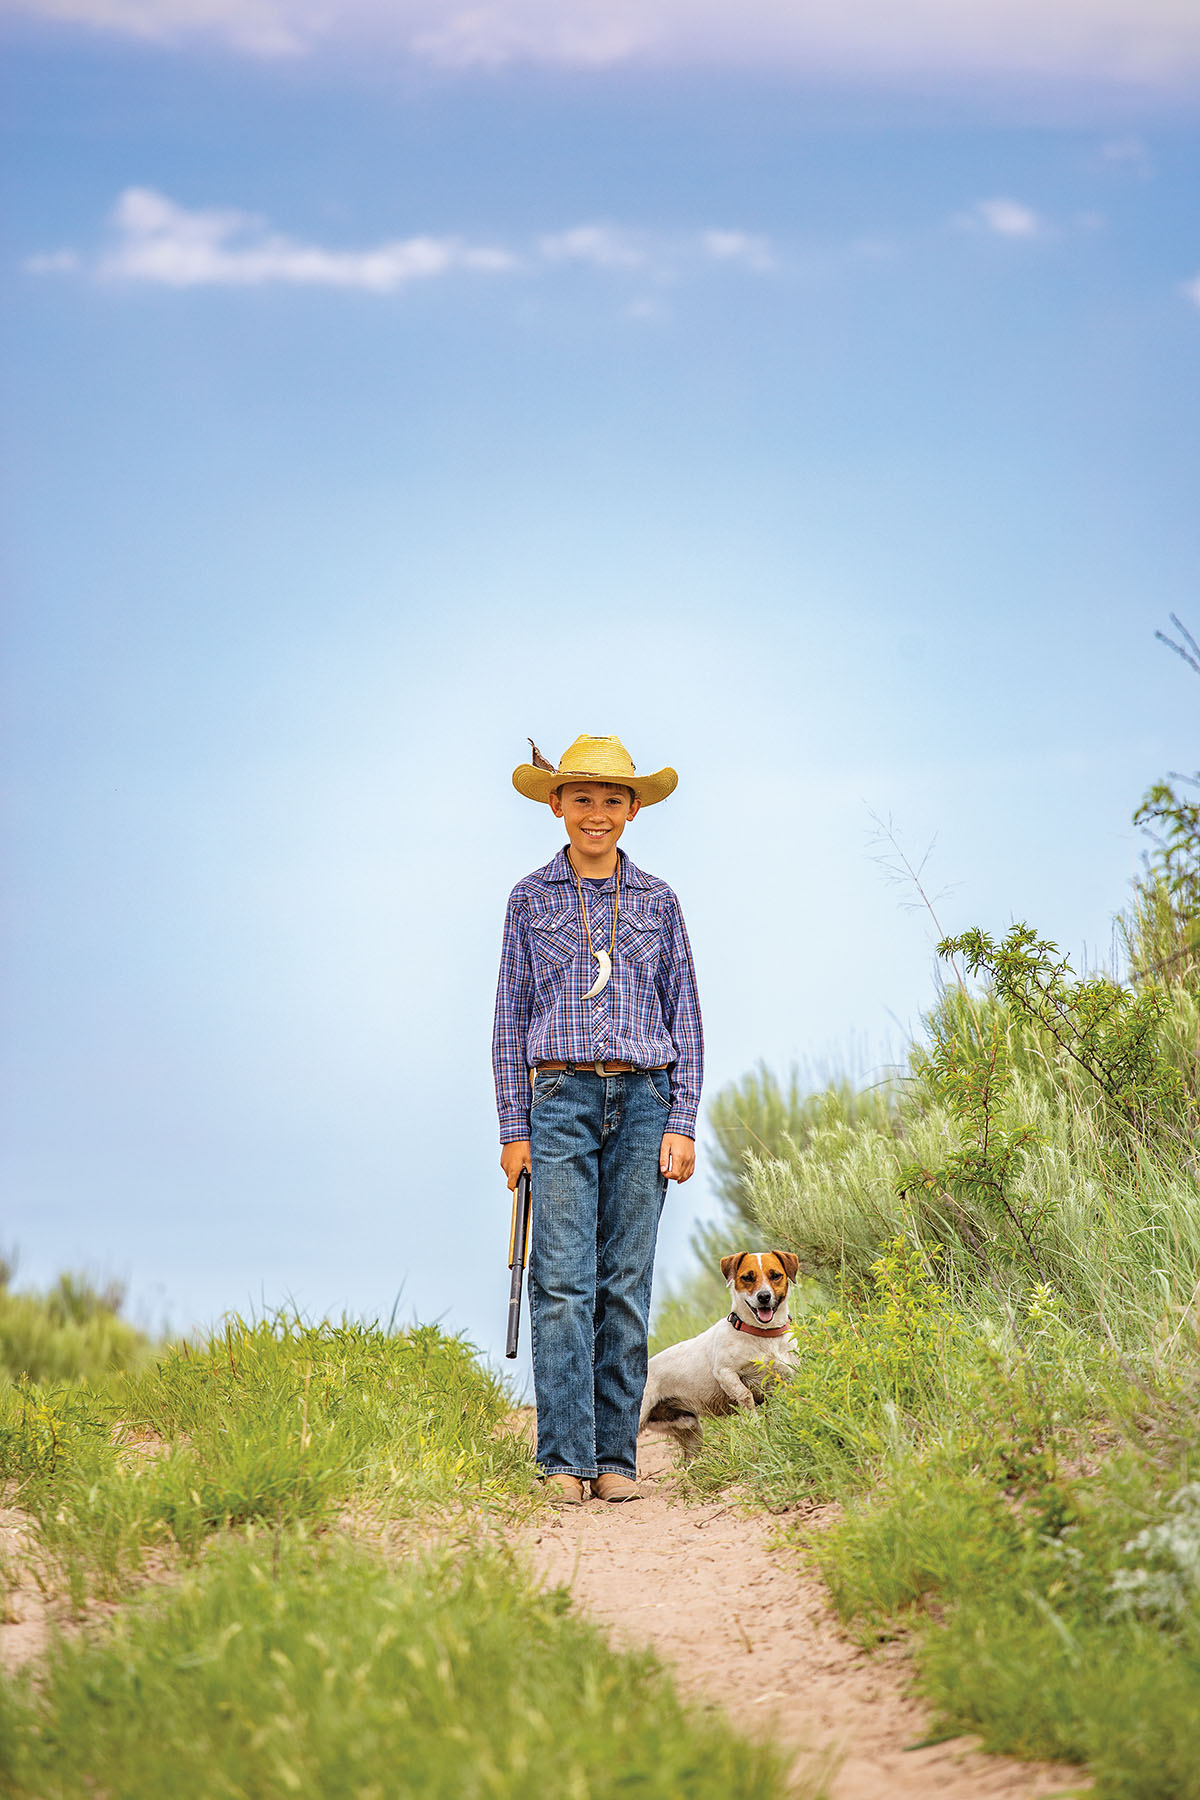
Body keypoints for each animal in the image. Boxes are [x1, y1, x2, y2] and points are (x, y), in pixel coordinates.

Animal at [636, 1260, 798, 1454]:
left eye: (775, 1275)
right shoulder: (724, 1372)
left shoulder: (784, 1377)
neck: (761, 1334)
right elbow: (745, 1396)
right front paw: (756, 1428)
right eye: (748, 1278)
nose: (764, 1296)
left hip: (689, 1430)